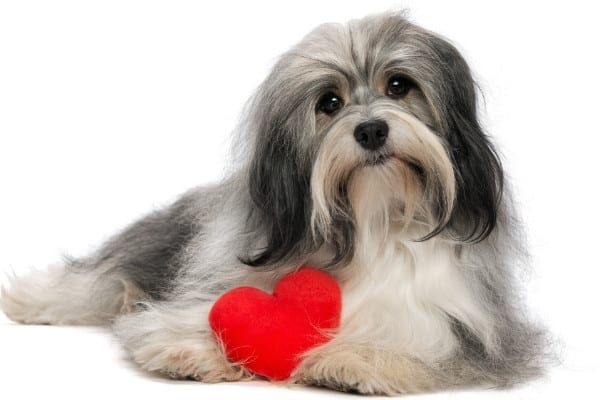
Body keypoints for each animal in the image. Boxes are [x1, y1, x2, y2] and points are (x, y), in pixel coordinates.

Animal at [0, 11, 548, 394]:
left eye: (399, 85)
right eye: (329, 102)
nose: (371, 130)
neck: (371, 219)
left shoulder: (457, 321)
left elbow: (417, 336)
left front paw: (357, 359)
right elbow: (190, 316)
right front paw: (196, 351)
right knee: (96, 278)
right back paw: (31, 298)